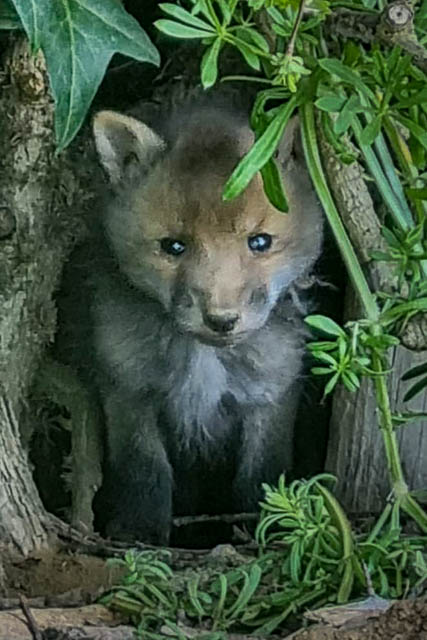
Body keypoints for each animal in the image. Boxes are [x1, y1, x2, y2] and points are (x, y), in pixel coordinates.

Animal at [60, 93, 323, 544]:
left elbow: (263, 476)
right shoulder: (129, 390)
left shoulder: (271, 394)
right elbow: (145, 471)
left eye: (259, 242)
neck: (204, 360)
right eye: (173, 246)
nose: (221, 319)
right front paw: (139, 535)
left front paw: (264, 533)